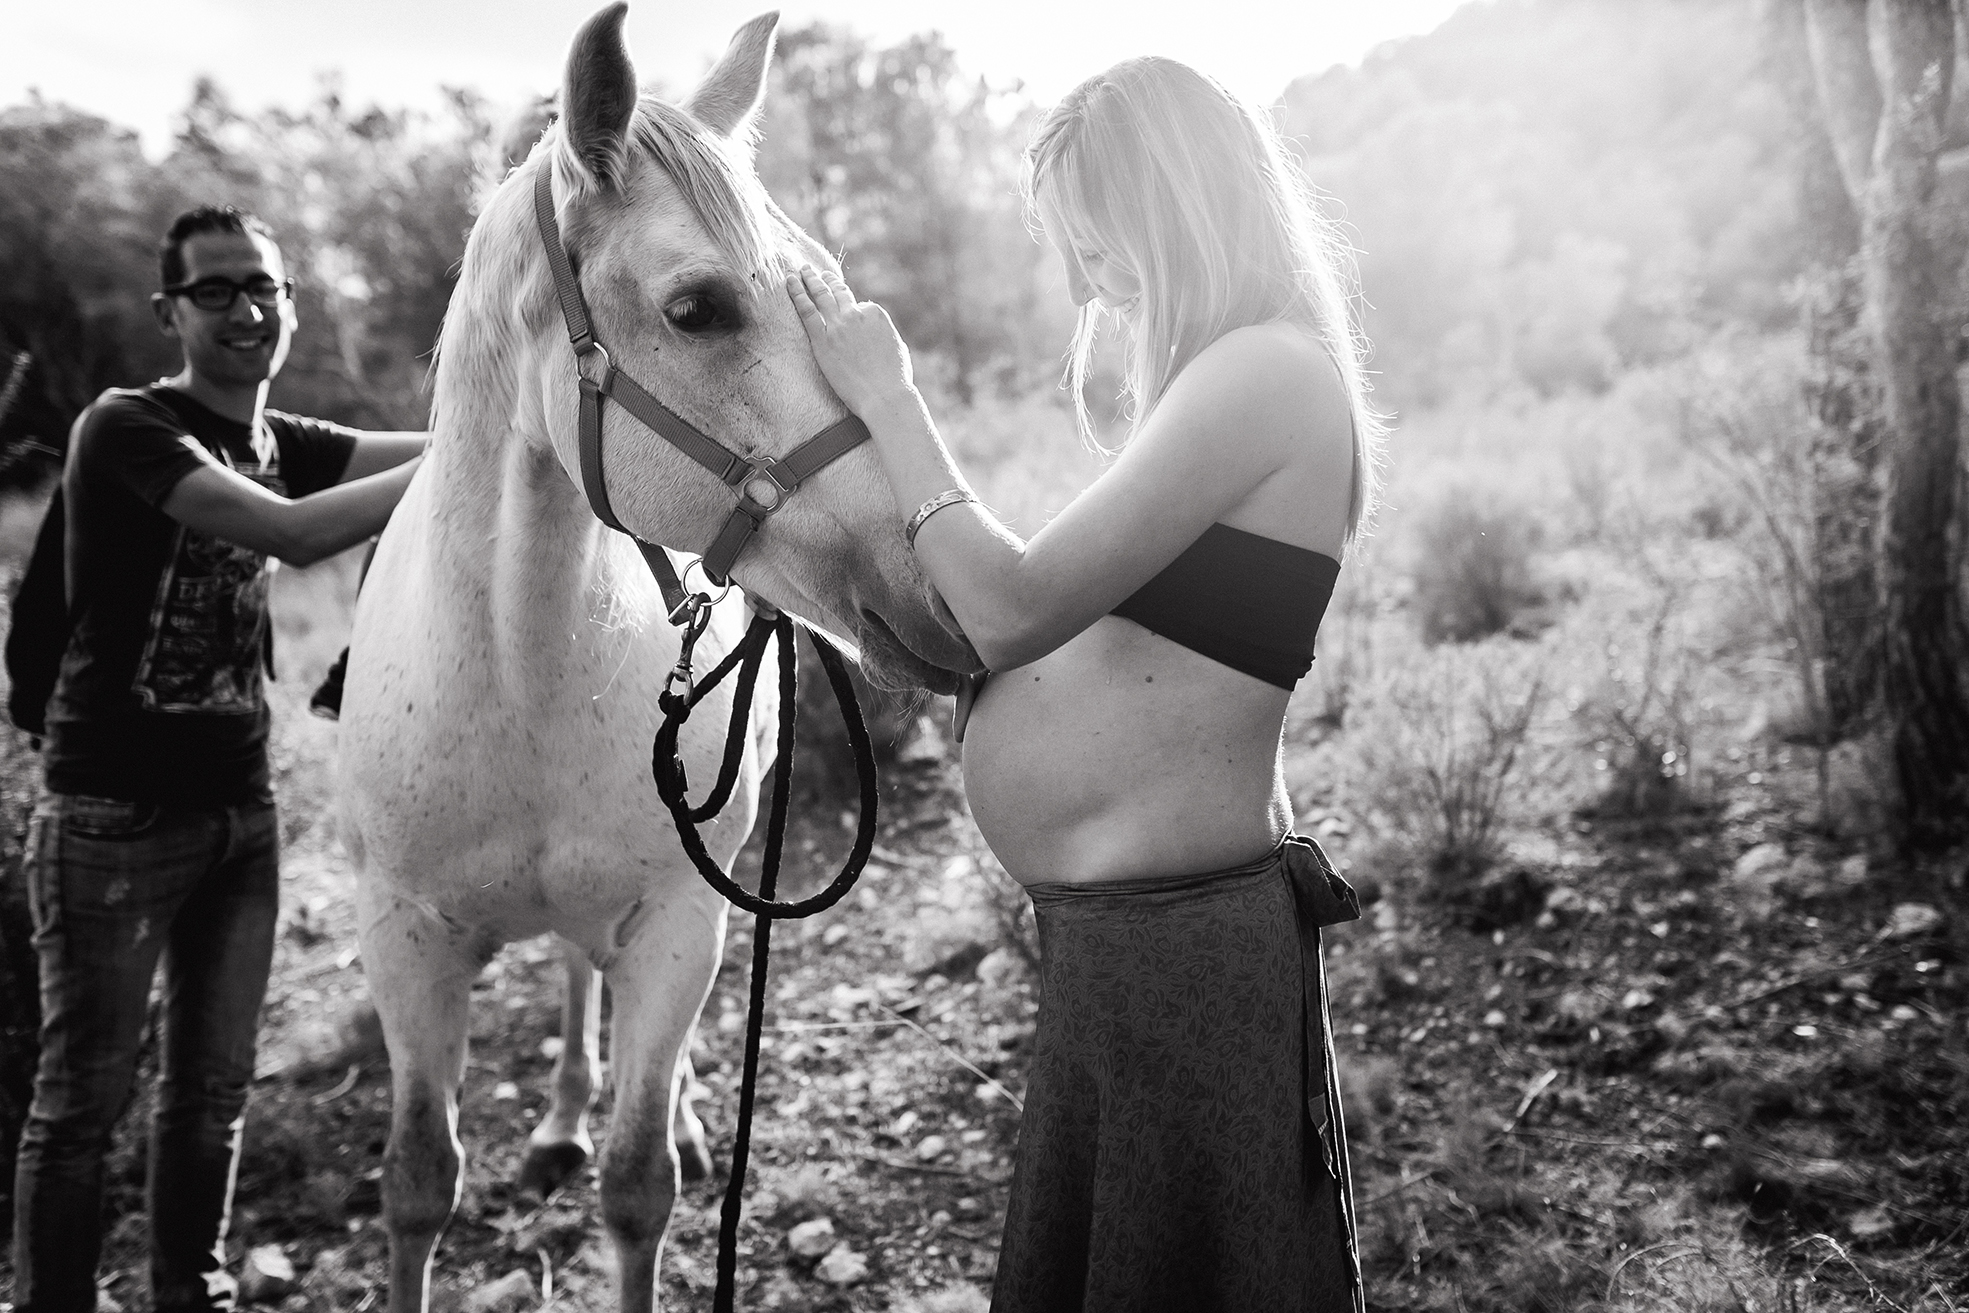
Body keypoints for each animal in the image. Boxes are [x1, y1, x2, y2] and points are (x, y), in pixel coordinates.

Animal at [334, 6, 977, 1309]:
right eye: (698, 309)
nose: (936, 583)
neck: (518, 666)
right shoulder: (403, 936)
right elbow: (417, 1181)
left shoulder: (681, 919)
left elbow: (637, 1185)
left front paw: (654, 1132)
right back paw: (559, 1116)